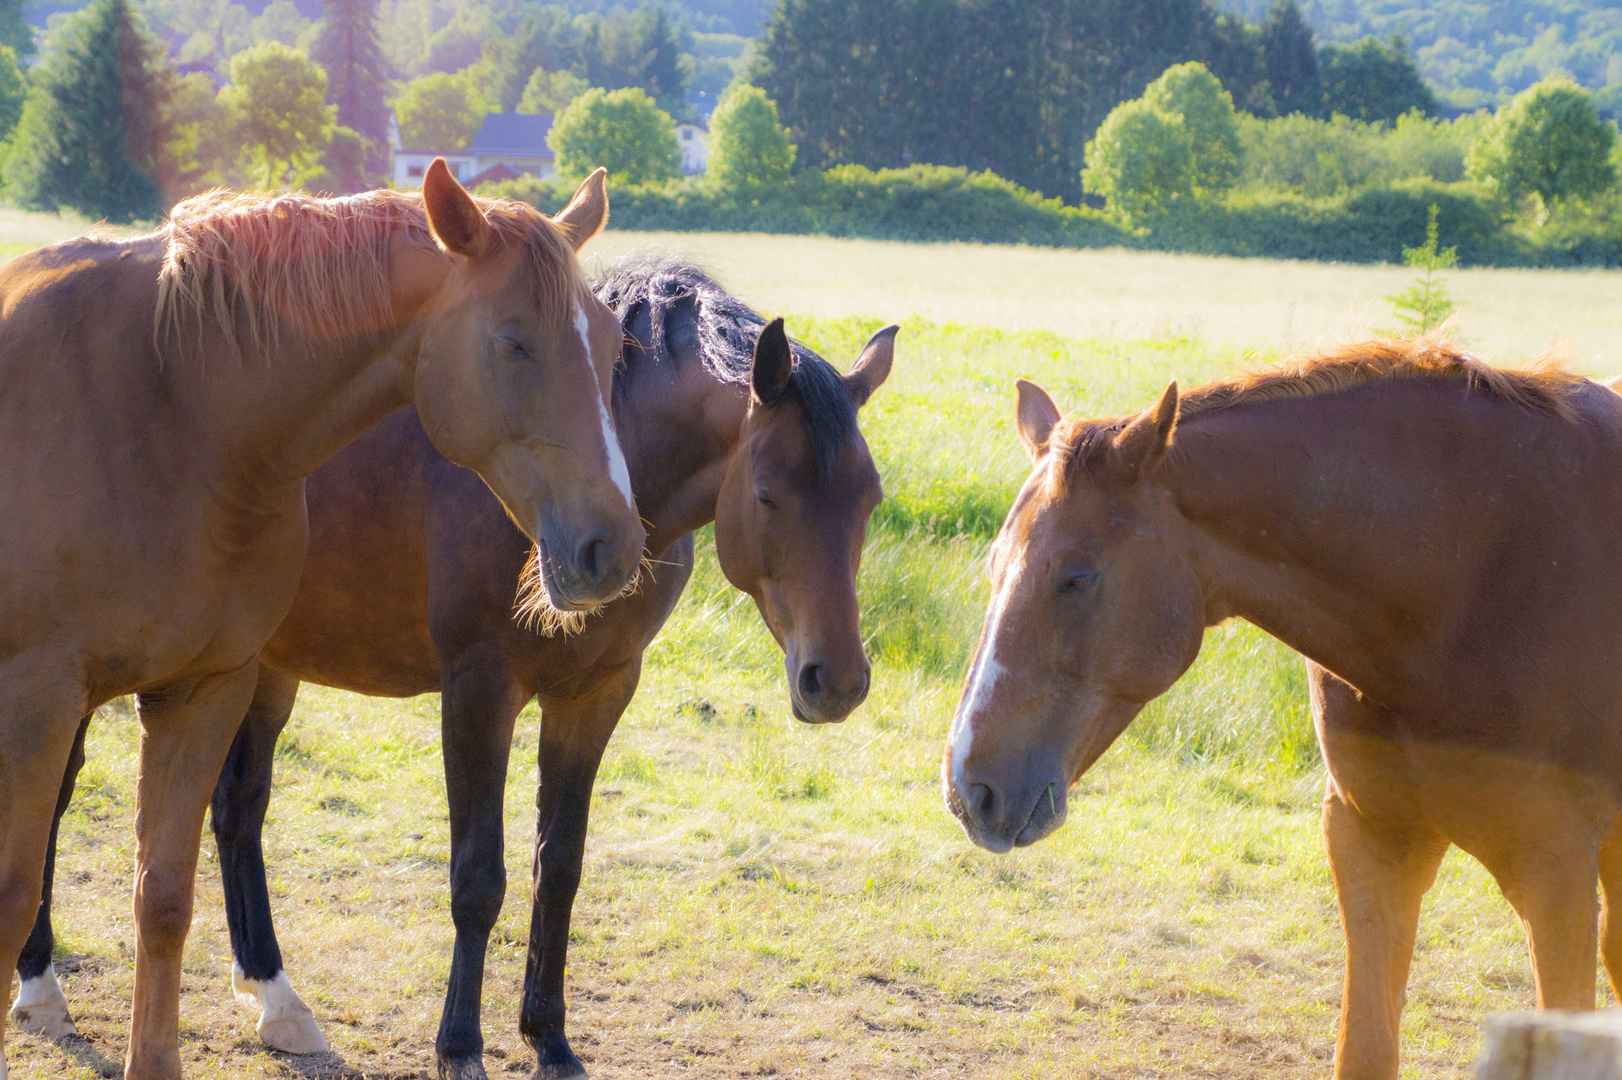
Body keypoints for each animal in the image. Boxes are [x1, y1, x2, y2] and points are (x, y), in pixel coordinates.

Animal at [0, 159, 645, 1076]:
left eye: (615, 343)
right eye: (513, 341)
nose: (612, 547)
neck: (171, 410)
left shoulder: (204, 690)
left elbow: (164, 898)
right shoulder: (38, 699)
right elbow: (14, 892)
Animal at [19, 259, 895, 1076]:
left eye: (870, 499)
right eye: (770, 492)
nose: (838, 680)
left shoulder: (597, 693)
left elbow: (560, 867)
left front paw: (551, 1040)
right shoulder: (481, 689)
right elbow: (479, 878)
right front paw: (460, 1046)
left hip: (263, 664)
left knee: (237, 811)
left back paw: (275, 999)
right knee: (57, 802)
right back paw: (39, 983)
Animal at [947, 340, 1622, 1076]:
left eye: (1076, 577)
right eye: (993, 563)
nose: (968, 787)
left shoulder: (1553, 871)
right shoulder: (1373, 843)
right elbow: (1365, 1049)